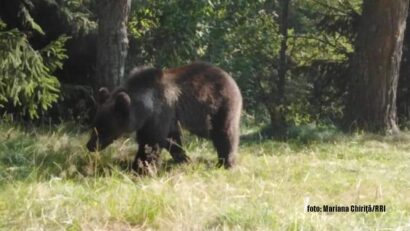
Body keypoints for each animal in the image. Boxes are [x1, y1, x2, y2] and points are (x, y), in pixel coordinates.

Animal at [85, 61, 240, 171]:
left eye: (104, 128)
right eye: (94, 125)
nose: (90, 145)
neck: (145, 107)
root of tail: (229, 77)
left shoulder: (160, 113)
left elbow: (151, 142)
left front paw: (140, 168)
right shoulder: (161, 120)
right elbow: (172, 141)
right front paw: (184, 160)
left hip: (220, 105)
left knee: (224, 133)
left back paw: (226, 162)